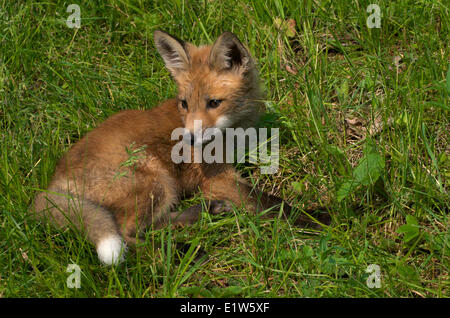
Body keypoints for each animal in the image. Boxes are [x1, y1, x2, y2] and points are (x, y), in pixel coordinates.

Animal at [31, 29, 326, 264]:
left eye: (214, 103)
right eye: (184, 103)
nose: (188, 139)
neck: (231, 132)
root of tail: (52, 185)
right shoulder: (217, 178)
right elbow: (271, 203)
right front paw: (320, 219)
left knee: (152, 224)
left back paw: (203, 214)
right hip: (155, 179)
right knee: (128, 234)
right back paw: (181, 253)